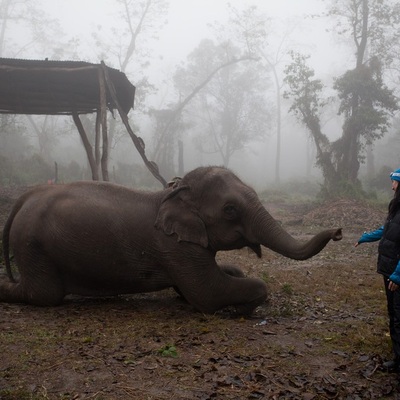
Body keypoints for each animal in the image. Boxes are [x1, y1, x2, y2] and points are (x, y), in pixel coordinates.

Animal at [0, 166, 340, 316]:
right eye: (230, 210)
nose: (338, 231)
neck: (174, 193)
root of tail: (25, 197)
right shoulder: (175, 248)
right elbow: (207, 294)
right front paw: (242, 307)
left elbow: (197, 286)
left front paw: (234, 274)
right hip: (32, 246)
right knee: (45, 295)